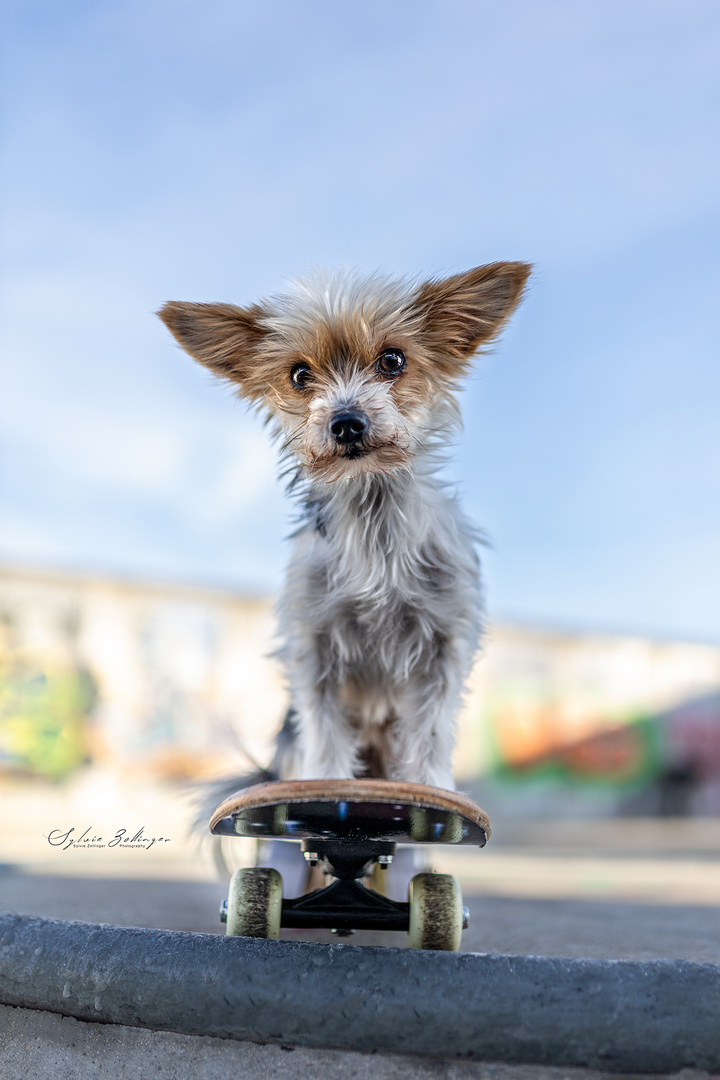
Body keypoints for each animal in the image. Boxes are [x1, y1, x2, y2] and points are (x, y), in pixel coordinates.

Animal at [157, 257, 528, 807]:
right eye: (299, 375)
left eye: (393, 360)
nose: (346, 422)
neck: (372, 513)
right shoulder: (313, 645)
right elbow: (325, 727)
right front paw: (325, 782)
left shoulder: (444, 641)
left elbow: (432, 726)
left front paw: (431, 786)